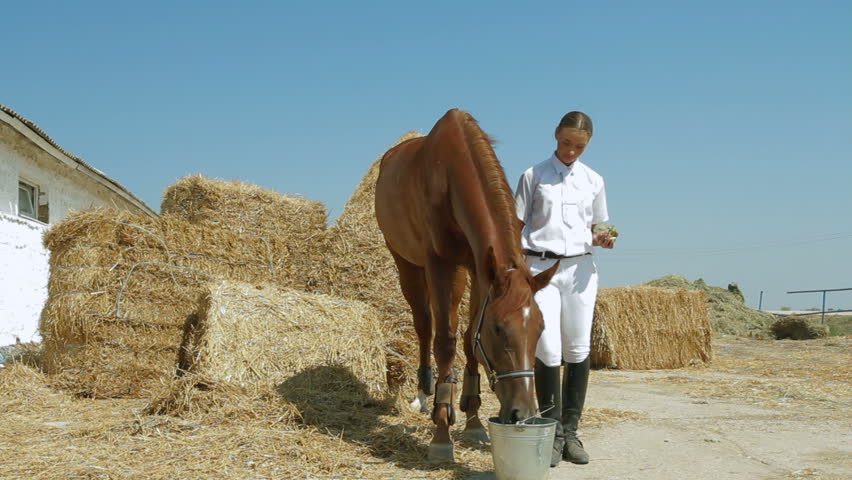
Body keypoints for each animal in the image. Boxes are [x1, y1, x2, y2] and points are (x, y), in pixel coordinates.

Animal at [374, 108, 559, 463]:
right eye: (499, 329)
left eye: (541, 328)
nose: (523, 414)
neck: (449, 174)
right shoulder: (440, 263)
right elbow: (445, 341)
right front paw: (441, 433)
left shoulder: (477, 266)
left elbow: (470, 334)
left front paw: (472, 421)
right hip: (407, 263)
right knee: (425, 325)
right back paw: (424, 394)